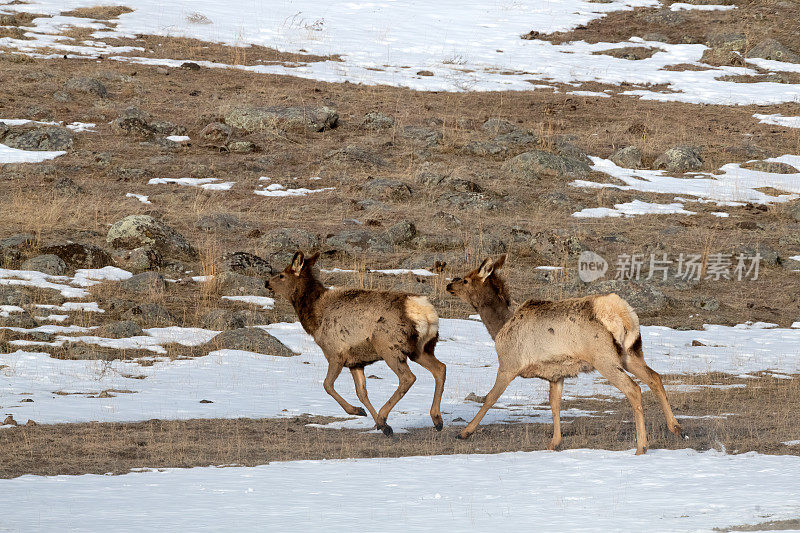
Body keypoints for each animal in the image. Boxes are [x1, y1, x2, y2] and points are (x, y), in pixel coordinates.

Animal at [268, 251, 444, 434]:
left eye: (281, 275)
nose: (267, 283)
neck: (315, 319)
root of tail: (426, 313)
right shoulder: (356, 361)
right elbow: (362, 392)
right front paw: (377, 423)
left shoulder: (335, 353)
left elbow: (327, 385)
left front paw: (359, 412)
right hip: (421, 349)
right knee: (440, 368)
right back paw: (436, 419)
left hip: (390, 347)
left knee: (408, 377)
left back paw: (385, 417)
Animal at [444, 254, 680, 454]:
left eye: (465, 280)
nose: (449, 285)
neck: (499, 327)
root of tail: (622, 315)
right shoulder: (555, 374)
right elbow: (555, 404)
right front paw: (554, 442)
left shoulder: (509, 364)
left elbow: (490, 397)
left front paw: (465, 432)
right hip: (631, 353)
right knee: (655, 377)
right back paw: (675, 427)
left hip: (604, 358)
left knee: (633, 389)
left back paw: (642, 446)